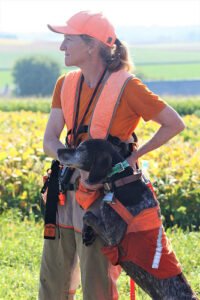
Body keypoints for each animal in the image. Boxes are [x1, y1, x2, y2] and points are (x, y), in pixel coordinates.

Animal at [57, 139, 198, 298]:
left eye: (81, 149)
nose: (58, 151)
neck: (121, 180)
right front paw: (87, 234)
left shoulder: (112, 236)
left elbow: (88, 214)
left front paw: (87, 230)